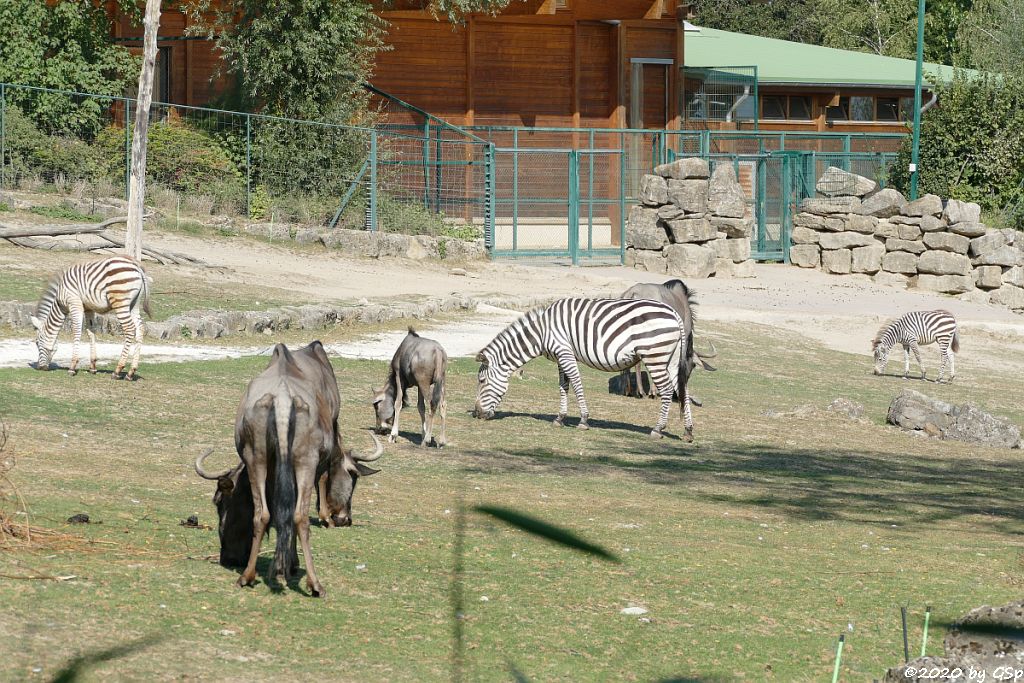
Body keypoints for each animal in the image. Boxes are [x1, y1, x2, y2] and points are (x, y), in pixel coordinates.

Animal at [194, 339, 380, 593]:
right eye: (354, 479)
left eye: (218, 501)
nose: (344, 519)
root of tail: (282, 400)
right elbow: (319, 483)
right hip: (305, 460)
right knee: (299, 515)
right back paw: (314, 583)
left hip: (257, 457)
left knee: (263, 514)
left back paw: (248, 575)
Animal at [473, 296, 696, 440]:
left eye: (481, 381)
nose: (476, 414)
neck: (541, 332)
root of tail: (674, 313)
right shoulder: (561, 357)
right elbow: (563, 386)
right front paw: (560, 418)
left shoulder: (564, 352)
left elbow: (577, 384)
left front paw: (583, 420)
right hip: (672, 359)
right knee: (682, 390)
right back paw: (688, 431)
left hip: (654, 356)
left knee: (666, 390)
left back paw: (658, 429)